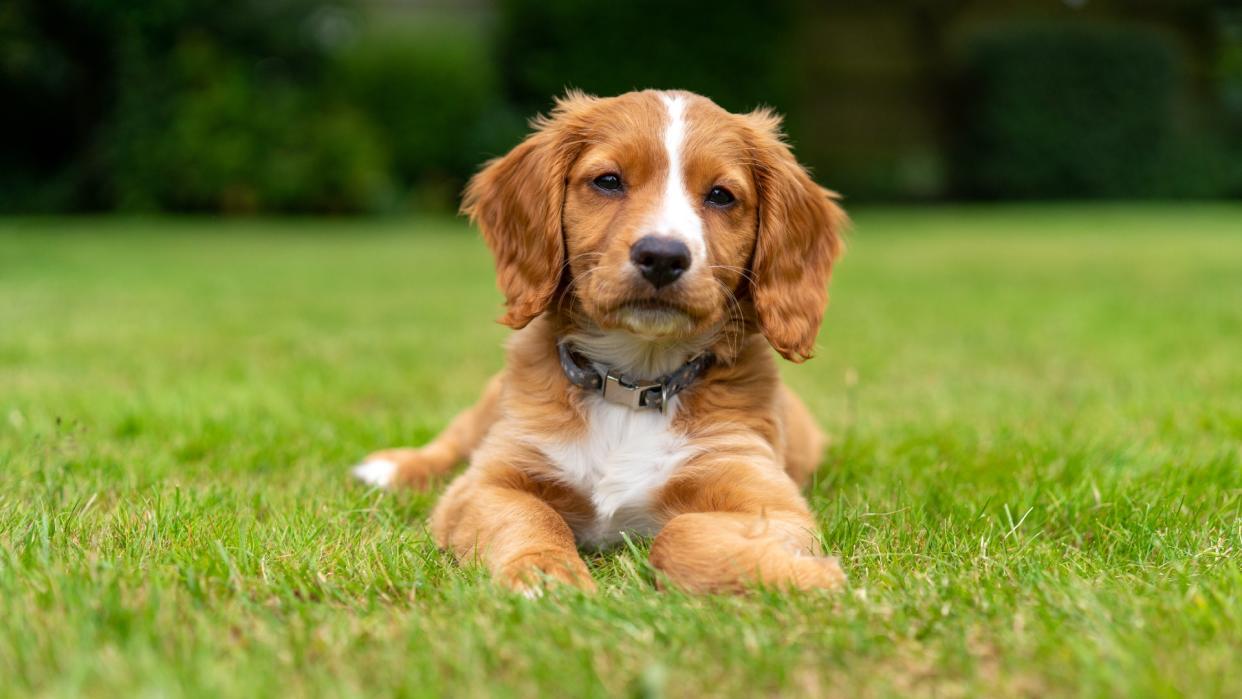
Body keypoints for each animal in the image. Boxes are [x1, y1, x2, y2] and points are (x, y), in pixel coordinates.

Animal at [355, 88, 849, 595]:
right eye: (608, 181)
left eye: (721, 195)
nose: (662, 256)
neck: (633, 383)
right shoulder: (485, 483)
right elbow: (529, 517)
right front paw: (545, 575)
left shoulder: (766, 496)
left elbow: (677, 536)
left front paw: (811, 577)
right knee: (456, 439)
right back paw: (391, 468)